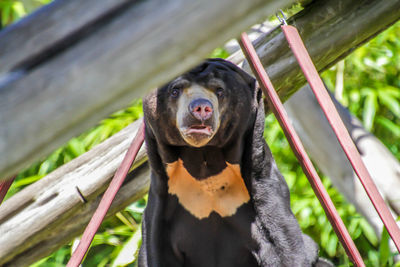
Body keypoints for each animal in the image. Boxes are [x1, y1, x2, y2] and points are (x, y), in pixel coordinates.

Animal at [139, 57, 326, 266]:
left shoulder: (261, 183)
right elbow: (155, 252)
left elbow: (284, 243)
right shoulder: (163, 198)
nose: (201, 108)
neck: (203, 160)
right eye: (175, 90)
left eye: (219, 91)